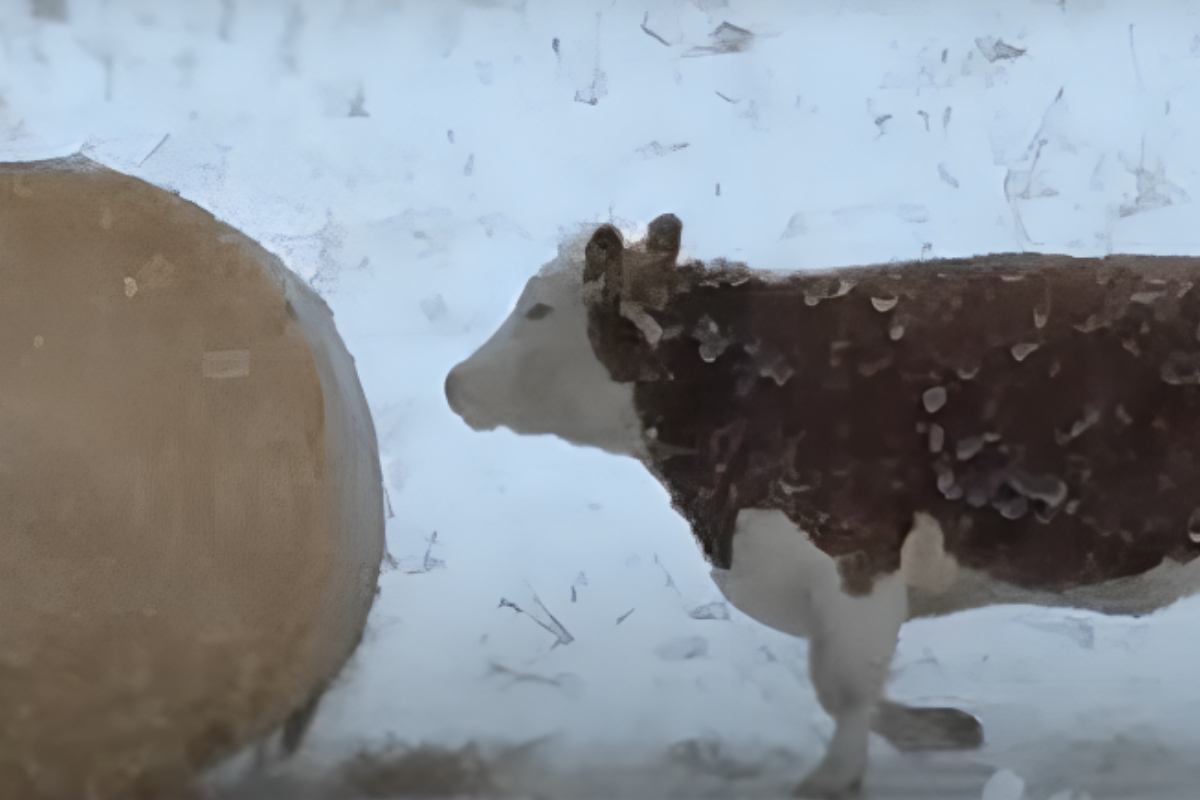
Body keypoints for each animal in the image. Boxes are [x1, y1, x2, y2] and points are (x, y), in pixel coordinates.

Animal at [444, 213, 1200, 797]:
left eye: (538, 310)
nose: (453, 383)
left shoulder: (852, 549)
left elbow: (844, 683)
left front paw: (834, 777)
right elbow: (835, 676)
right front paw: (932, 728)